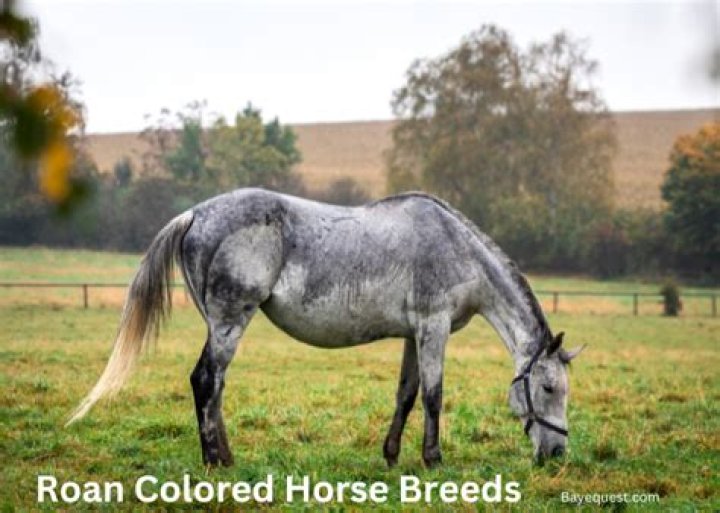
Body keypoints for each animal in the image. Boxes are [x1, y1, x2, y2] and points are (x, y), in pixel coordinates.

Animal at [67, 188, 584, 467]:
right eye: (549, 388)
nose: (556, 454)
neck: (455, 248)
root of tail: (195, 213)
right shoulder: (433, 329)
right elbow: (434, 396)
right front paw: (433, 459)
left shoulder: (412, 335)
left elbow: (406, 394)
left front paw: (391, 455)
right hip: (231, 320)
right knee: (205, 380)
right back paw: (215, 462)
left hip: (221, 324)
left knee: (214, 387)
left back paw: (226, 458)